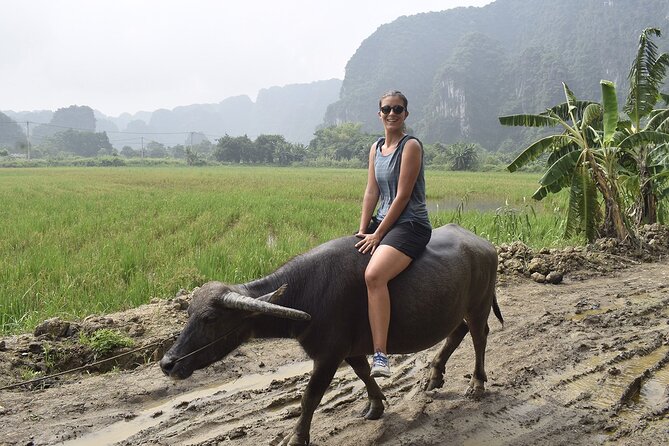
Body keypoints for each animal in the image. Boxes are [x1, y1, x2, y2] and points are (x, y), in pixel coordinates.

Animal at [160, 225, 500, 444]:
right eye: (188, 314)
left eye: (210, 318)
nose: (168, 363)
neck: (306, 292)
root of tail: (485, 245)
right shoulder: (349, 349)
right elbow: (363, 372)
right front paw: (376, 405)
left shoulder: (328, 355)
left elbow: (310, 396)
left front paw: (297, 437)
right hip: (458, 308)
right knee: (458, 332)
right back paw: (434, 376)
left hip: (479, 304)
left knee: (480, 336)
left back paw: (476, 385)